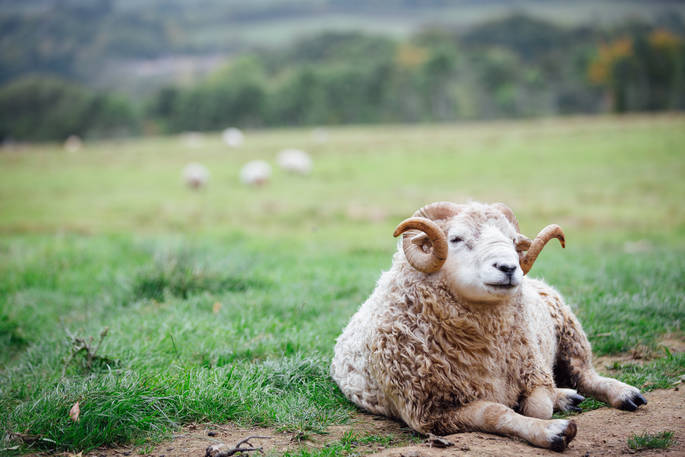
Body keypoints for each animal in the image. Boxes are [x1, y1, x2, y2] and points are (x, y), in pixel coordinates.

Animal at [331, 201, 646, 452]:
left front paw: (546, 409)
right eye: (456, 238)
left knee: (584, 374)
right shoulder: (431, 413)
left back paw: (624, 394)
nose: (508, 268)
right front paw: (553, 431)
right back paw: (569, 397)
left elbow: (539, 407)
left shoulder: (534, 371)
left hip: (569, 329)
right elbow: (496, 412)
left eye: (513, 240)